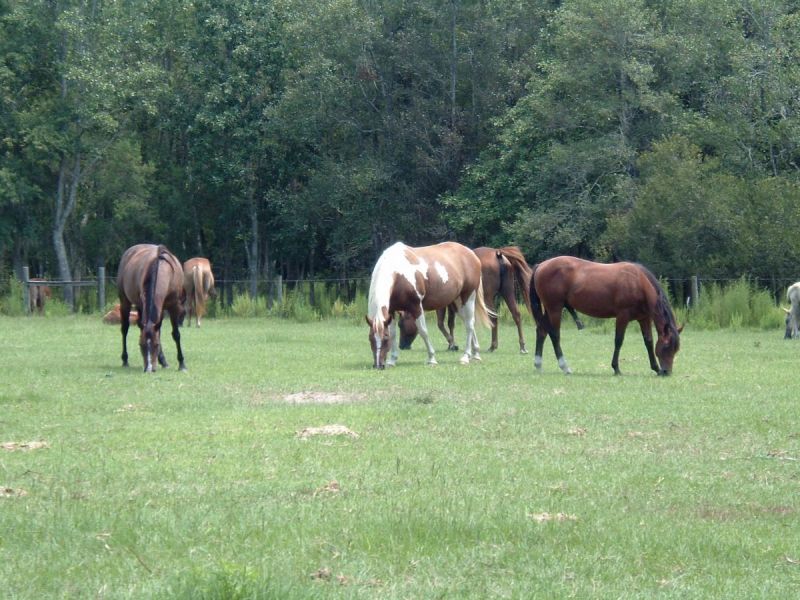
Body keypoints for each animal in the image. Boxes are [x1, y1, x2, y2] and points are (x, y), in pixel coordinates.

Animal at [117, 244, 187, 372]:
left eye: (156, 345)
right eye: (141, 345)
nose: (149, 369)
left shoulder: (174, 306)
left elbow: (176, 334)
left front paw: (182, 364)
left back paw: (163, 361)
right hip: (125, 302)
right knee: (124, 329)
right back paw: (125, 360)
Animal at [398, 246, 584, 353]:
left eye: (400, 324)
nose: (401, 346)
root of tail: (498, 253)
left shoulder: (445, 304)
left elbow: (442, 324)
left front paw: (452, 343)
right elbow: (451, 323)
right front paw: (454, 343)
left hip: (488, 296)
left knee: (493, 316)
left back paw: (493, 345)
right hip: (507, 292)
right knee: (516, 314)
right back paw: (521, 345)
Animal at [530, 256, 682, 376]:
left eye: (675, 349)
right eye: (667, 346)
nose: (666, 372)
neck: (638, 282)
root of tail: (541, 265)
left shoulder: (644, 318)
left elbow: (648, 341)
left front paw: (655, 368)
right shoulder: (622, 316)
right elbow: (618, 340)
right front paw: (616, 368)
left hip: (549, 310)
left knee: (542, 331)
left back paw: (538, 364)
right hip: (555, 309)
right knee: (555, 335)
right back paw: (565, 367)